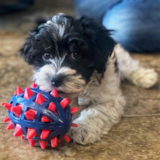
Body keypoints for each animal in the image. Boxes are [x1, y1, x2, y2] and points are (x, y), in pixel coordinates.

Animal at [20, 13, 158, 144]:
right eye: (46, 55)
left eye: (76, 54)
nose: (55, 80)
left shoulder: (110, 98)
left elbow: (97, 112)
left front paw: (82, 128)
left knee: (129, 66)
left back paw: (146, 77)